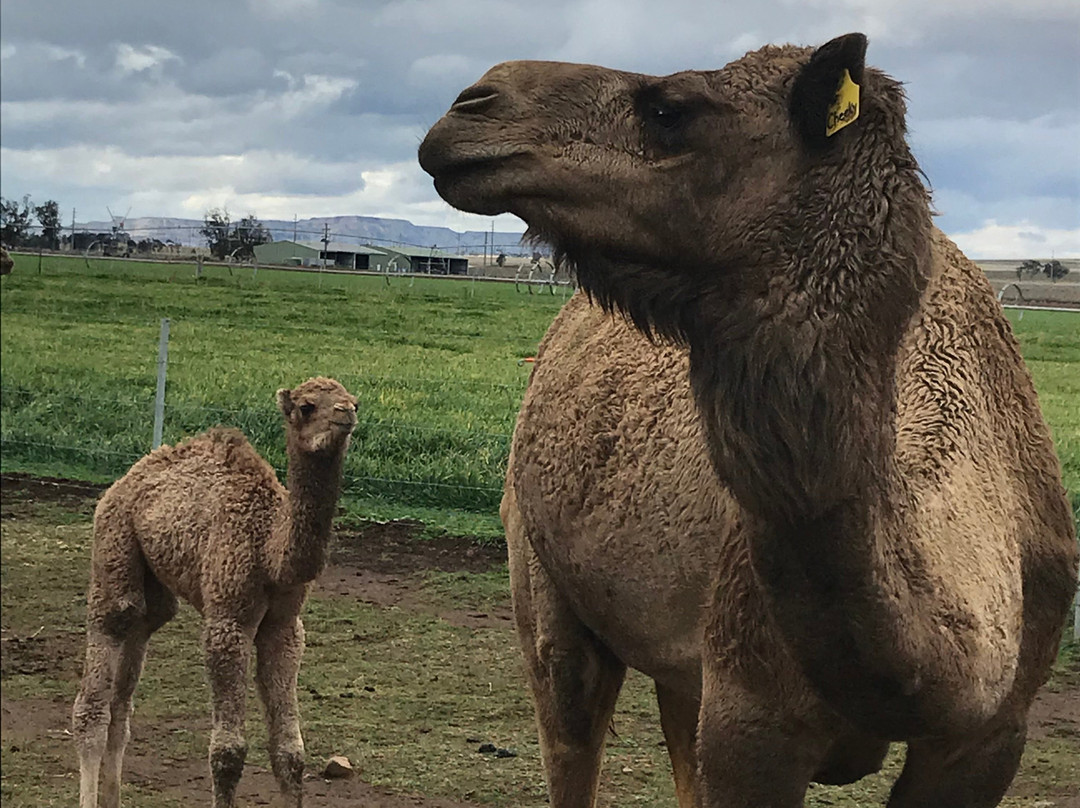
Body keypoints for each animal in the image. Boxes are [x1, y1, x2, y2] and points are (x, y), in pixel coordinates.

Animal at [72, 377, 358, 808]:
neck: (269, 548)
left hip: (152, 590)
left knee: (126, 688)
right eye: (307, 406)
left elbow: (290, 751)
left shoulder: (285, 626)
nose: (347, 413)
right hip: (113, 542)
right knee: (98, 679)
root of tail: (127, 478)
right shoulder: (227, 621)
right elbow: (228, 751)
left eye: (353, 399)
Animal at [419, 33, 1079, 807]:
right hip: (541, 570)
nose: (472, 104)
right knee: (570, 725)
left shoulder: (991, 736)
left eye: (670, 109)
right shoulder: (750, 718)